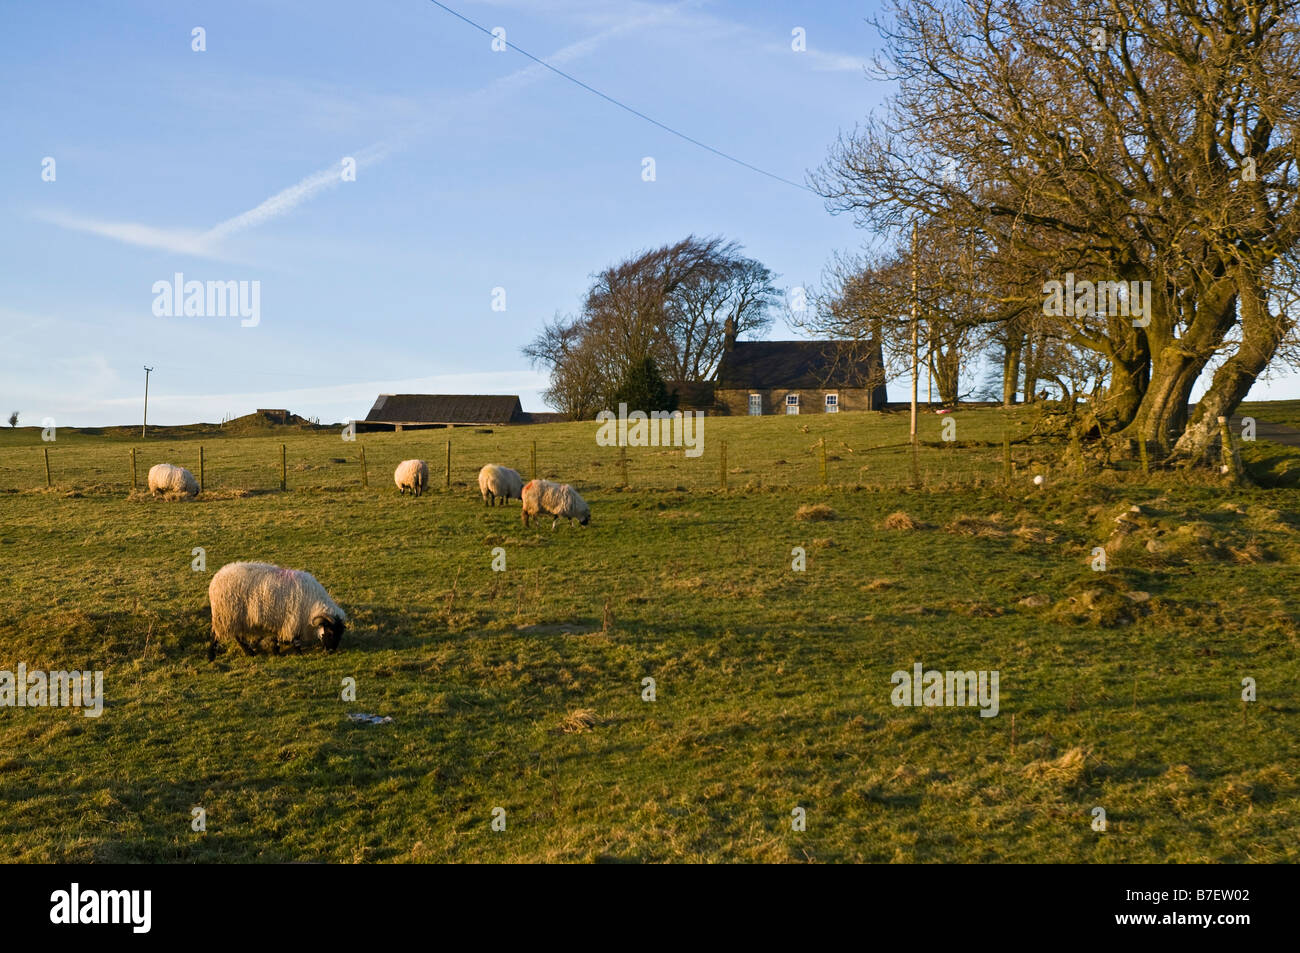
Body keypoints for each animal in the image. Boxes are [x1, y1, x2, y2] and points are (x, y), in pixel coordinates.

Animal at [205, 561, 345, 657]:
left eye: (340, 633)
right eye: (330, 632)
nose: (332, 651)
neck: (312, 603)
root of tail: (215, 580)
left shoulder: (282, 619)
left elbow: (277, 636)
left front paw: (276, 650)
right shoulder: (293, 618)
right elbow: (295, 639)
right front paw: (298, 652)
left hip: (235, 617)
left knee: (237, 636)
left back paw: (249, 651)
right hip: (227, 615)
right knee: (217, 635)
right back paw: (213, 655)